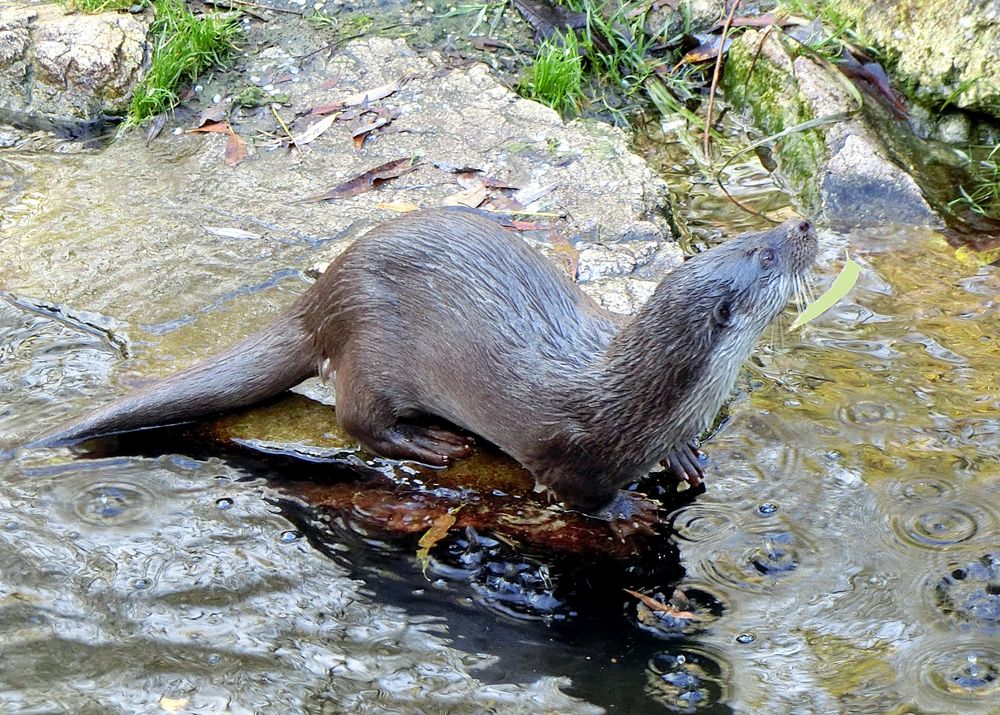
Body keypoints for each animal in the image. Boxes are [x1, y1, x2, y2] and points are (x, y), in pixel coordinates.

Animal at [37, 210, 820, 528]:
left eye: (748, 239)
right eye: (767, 257)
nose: (803, 224)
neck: (642, 397)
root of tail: (324, 294)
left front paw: (683, 456)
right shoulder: (570, 448)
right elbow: (577, 491)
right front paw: (628, 506)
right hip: (374, 345)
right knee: (354, 418)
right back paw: (427, 442)